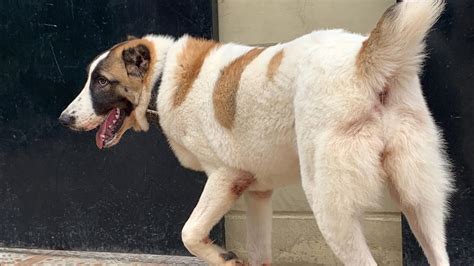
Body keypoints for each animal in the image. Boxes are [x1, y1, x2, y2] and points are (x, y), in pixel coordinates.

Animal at [60, 1, 456, 264]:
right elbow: (258, 251)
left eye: (101, 81)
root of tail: (365, 59)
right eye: (91, 78)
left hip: (330, 206)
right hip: (420, 202)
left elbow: (189, 233)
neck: (162, 76)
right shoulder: (258, 193)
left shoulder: (225, 177)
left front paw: (222, 256)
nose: (64, 119)